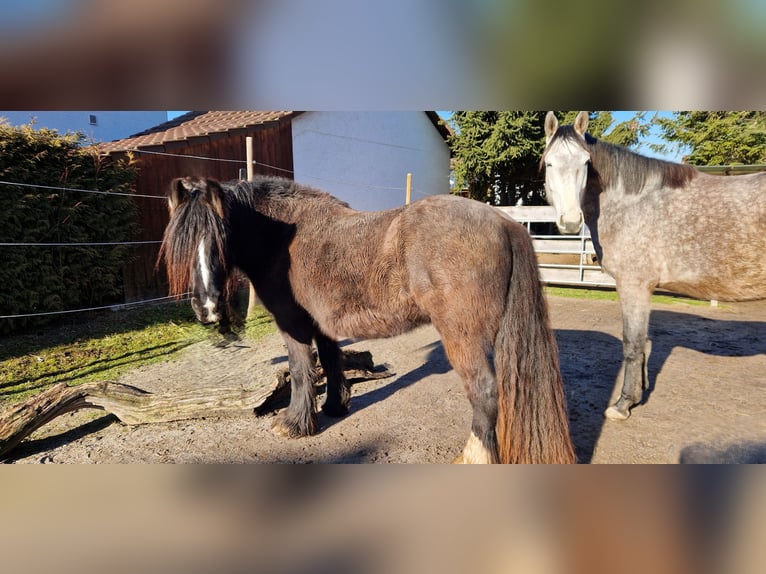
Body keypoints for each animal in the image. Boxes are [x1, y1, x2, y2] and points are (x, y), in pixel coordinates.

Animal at [158, 176, 576, 464]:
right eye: (181, 244)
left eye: (220, 239)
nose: (207, 308)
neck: (282, 238)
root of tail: (504, 222)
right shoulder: (323, 326)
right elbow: (330, 363)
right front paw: (333, 407)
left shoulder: (293, 324)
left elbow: (300, 370)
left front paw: (293, 424)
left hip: (463, 336)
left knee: (485, 392)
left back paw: (472, 458)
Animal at [540, 110, 766, 420]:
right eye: (550, 163)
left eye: (586, 163)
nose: (572, 222)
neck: (633, 203)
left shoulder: (634, 285)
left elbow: (632, 343)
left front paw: (623, 404)